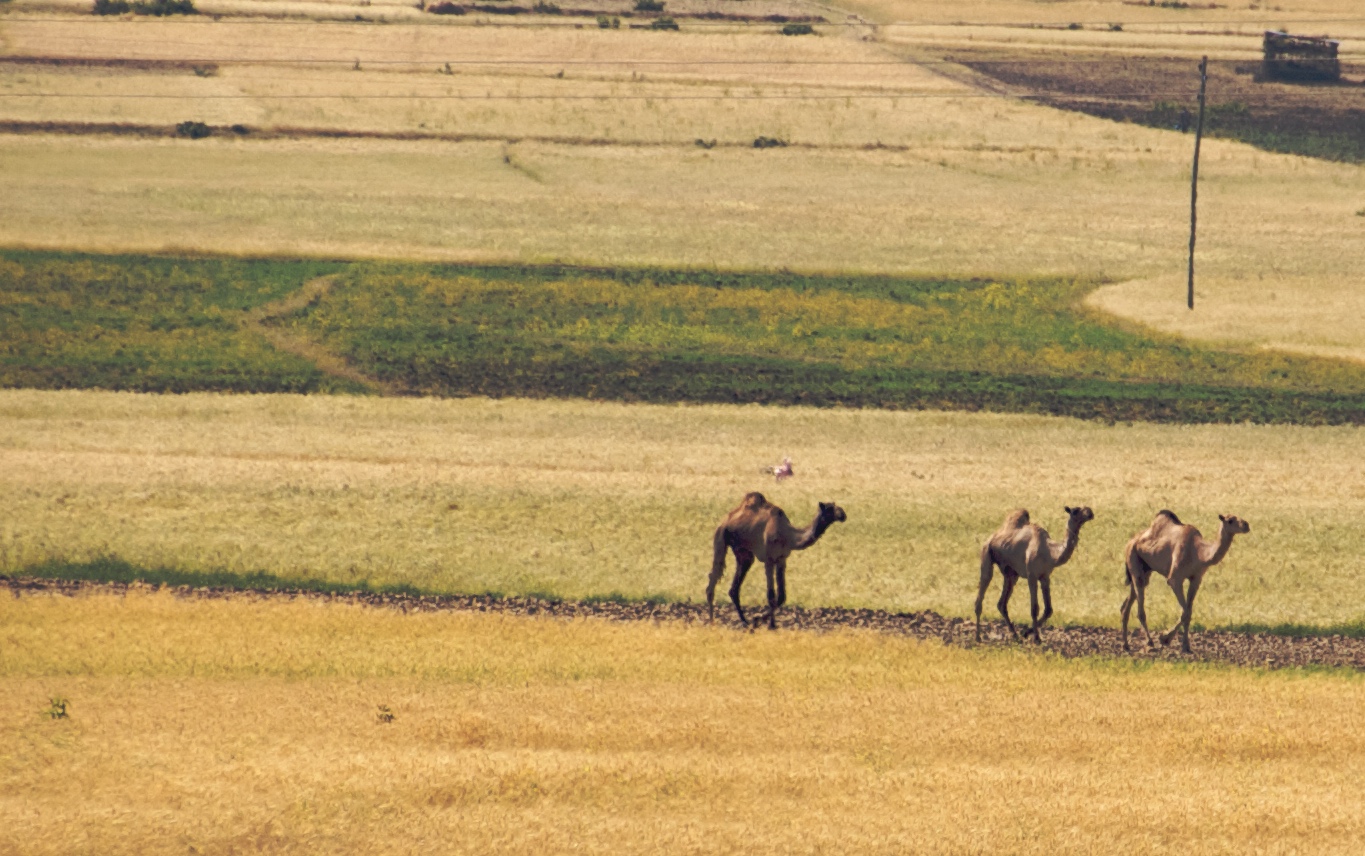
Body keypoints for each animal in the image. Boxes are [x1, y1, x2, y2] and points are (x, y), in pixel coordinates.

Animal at [707, 492, 847, 629]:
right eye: (829, 509)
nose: (843, 514)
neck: (788, 535)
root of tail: (726, 518)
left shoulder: (781, 560)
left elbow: (781, 596)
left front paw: (761, 621)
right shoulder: (768, 559)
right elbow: (771, 596)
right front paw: (766, 623)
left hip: (743, 552)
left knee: (734, 588)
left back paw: (745, 622)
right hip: (720, 538)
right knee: (714, 576)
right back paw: (712, 622)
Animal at [974, 506, 1094, 643]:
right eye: (1075, 511)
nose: (1090, 512)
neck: (1050, 552)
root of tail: (992, 536)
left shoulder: (1045, 577)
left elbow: (1048, 609)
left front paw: (1026, 633)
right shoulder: (1031, 576)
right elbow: (1034, 608)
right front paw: (1036, 638)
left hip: (1011, 573)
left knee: (1002, 603)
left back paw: (1015, 635)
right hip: (986, 554)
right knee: (982, 589)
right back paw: (978, 637)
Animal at [1120, 510, 1250, 654]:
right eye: (1230, 520)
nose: (1246, 525)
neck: (1199, 553)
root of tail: (1131, 541)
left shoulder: (1196, 579)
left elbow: (1188, 613)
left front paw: (1186, 646)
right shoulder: (1175, 579)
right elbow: (1185, 612)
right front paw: (1164, 638)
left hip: (1145, 569)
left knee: (1127, 603)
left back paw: (1126, 645)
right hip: (1133, 558)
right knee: (1140, 608)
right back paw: (1149, 642)